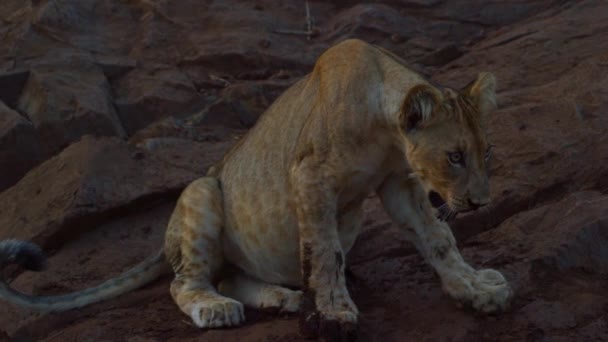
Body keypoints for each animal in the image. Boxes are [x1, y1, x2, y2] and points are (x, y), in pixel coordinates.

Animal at [1, 39, 512, 336]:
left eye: (485, 153)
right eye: (454, 156)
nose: (479, 202)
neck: (385, 128)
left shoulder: (397, 183)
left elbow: (439, 240)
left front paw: (475, 287)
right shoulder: (310, 175)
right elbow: (324, 251)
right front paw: (333, 311)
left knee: (229, 275)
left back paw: (285, 297)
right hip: (203, 190)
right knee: (185, 282)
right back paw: (219, 309)